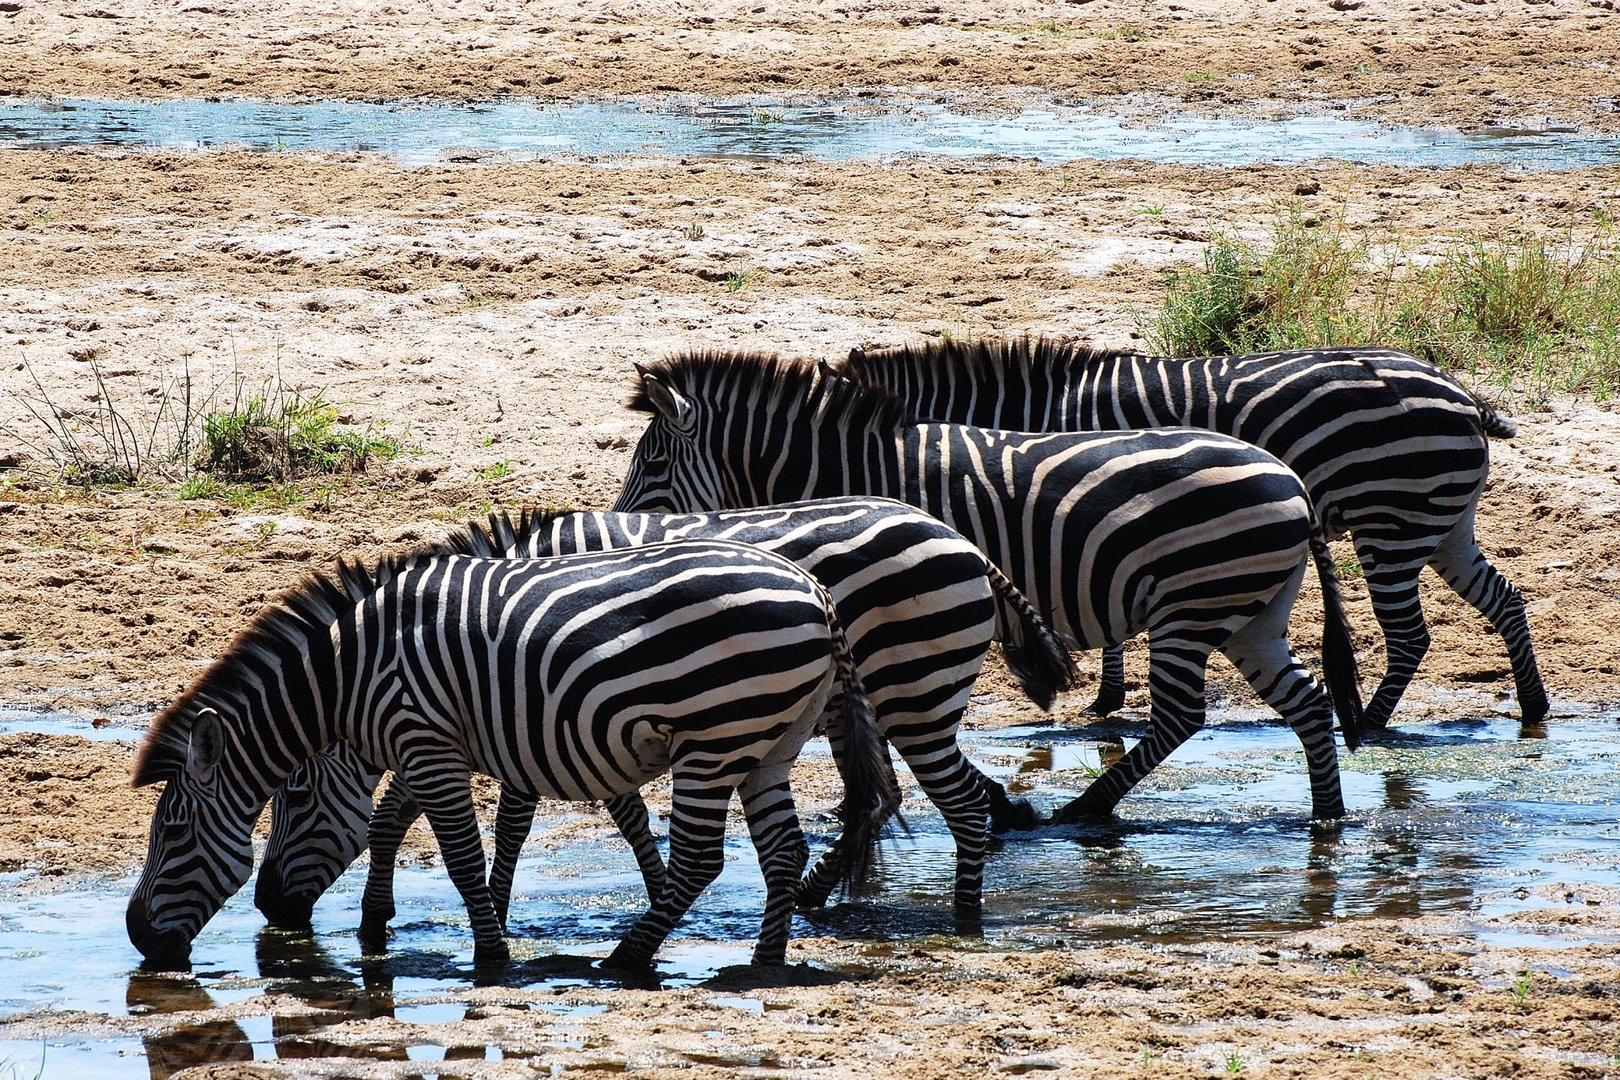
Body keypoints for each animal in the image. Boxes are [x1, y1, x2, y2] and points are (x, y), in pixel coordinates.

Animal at [123, 540, 887, 971]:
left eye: (174, 833)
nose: (136, 937)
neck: (346, 678)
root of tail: (816, 591)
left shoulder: (427, 740)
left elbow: (461, 856)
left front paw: (489, 954)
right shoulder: (438, 743)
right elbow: (394, 823)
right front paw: (378, 924)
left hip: (715, 737)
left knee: (702, 859)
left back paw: (626, 959)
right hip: (770, 742)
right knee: (783, 851)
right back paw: (765, 960)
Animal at [255, 498, 1075, 939]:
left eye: (291, 795)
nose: (267, 908)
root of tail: (960, 538)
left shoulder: (527, 705)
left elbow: (494, 819)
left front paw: (473, 907)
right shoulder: (538, 711)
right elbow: (406, 809)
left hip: (912, 690)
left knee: (932, 798)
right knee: (882, 797)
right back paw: (812, 897)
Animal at [609, 351, 1367, 822]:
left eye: (652, 464)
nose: (621, 531)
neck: (855, 469)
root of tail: (1290, 479)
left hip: (1193, 603)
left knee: (1182, 715)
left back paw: (1086, 809)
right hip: (1251, 610)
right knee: (1306, 702)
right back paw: (1327, 822)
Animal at [835, 335, 1542, 725]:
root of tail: (1461, 392)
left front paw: (1105, 695)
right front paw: (1107, 696)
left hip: (1390, 521)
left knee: (1409, 635)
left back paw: (1368, 724)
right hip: (1442, 519)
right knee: (1505, 599)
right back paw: (1533, 708)